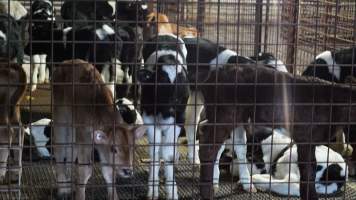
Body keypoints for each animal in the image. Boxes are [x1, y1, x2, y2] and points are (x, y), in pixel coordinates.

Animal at [51, 59, 146, 200]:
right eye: (114, 149)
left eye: (132, 148)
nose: (127, 170)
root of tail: (66, 63)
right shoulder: (84, 140)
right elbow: (84, 171)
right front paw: (79, 195)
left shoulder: (100, 147)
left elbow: (108, 172)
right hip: (60, 119)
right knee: (60, 151)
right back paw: (63, 190)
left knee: (70, 153)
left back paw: (69, 186)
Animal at [138, 33, 191, 199]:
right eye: (160, 82)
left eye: (181, 83)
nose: (172, 107)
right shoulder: (147, 116)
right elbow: (154, 152)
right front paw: (153, 189)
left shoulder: (179, 119)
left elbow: (167, 156)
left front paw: (172, 190)